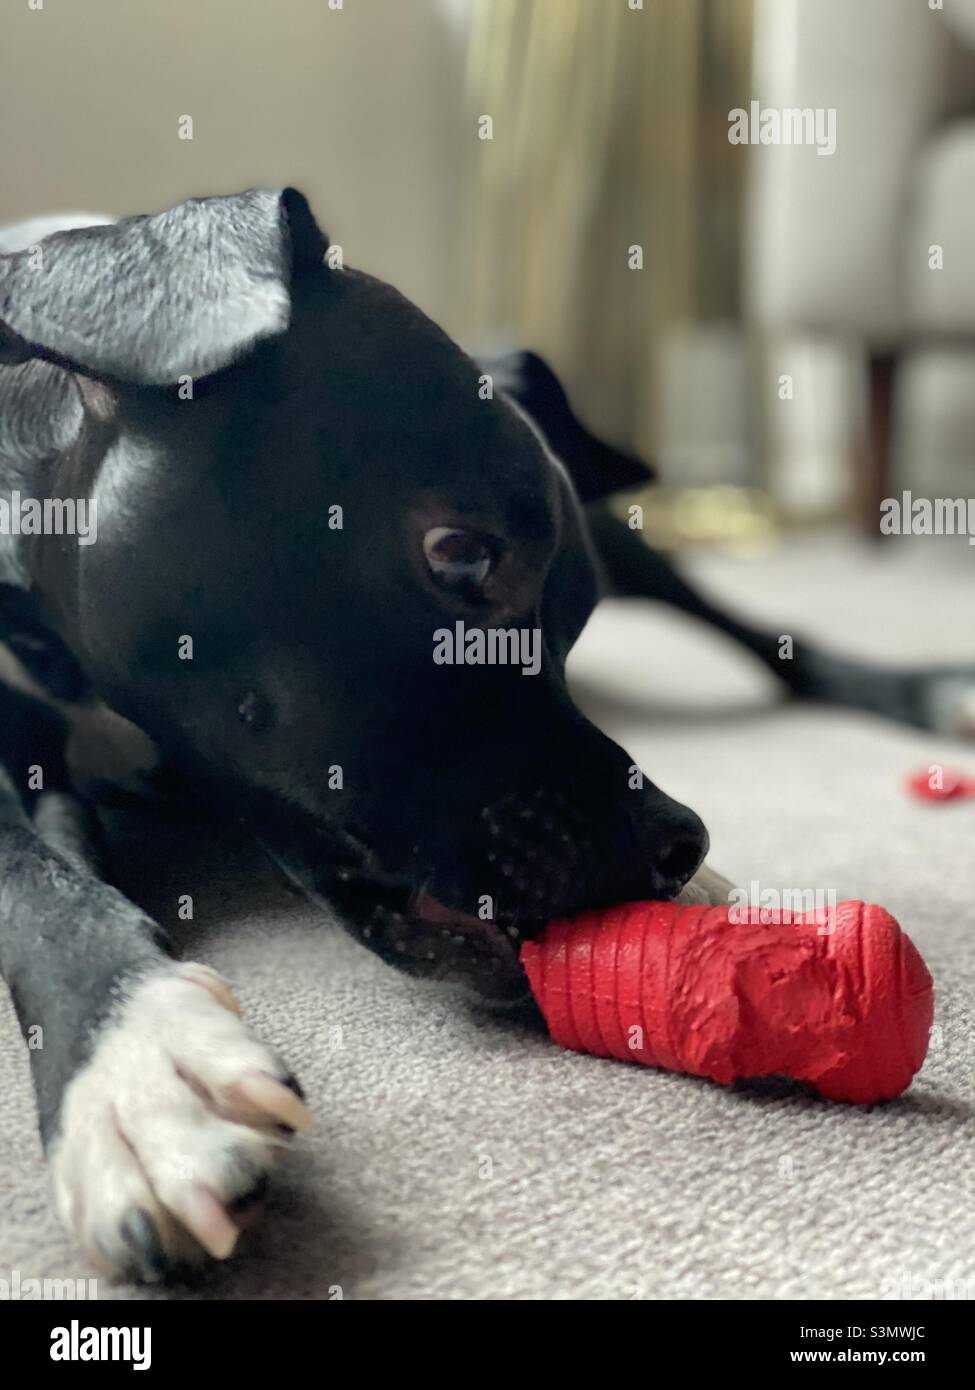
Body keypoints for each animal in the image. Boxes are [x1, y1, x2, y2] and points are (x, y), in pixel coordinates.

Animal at [0, 187, 968, 1278]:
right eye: (461, 553)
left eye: (572, 625)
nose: (681, 841)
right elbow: (48, 890)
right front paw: (137, 1066)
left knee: (756, 632)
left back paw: (926, 689)